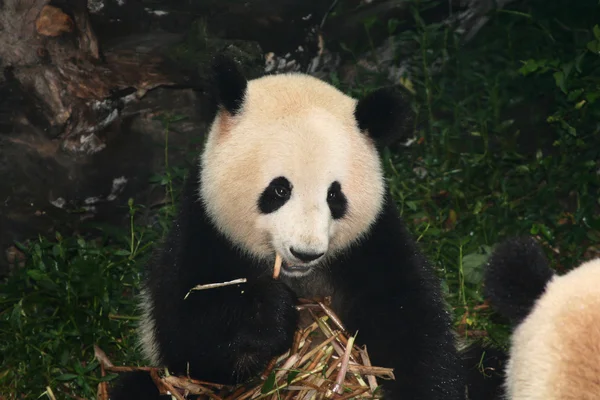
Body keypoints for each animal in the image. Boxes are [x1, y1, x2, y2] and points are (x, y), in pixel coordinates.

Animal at [108, 54, 464, 400]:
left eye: (334, 195)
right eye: (279, 190)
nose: (305, 252)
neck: (299, 278)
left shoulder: (371, 241)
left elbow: (409, 322)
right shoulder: (204, 230)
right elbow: (188, 337)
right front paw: (270, 313)